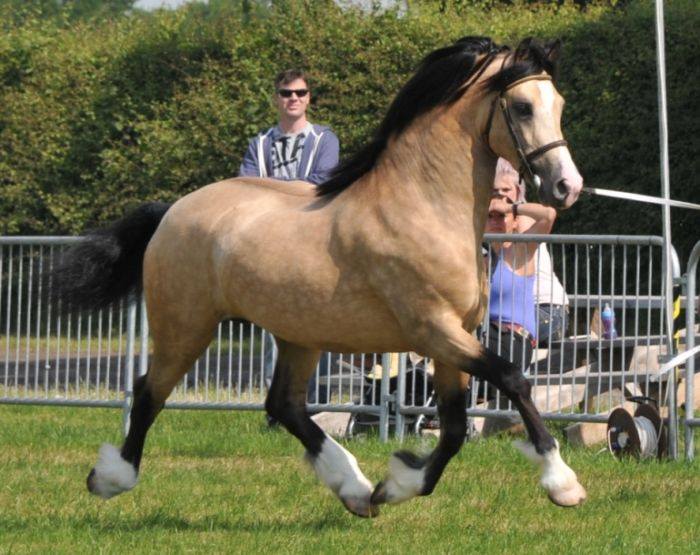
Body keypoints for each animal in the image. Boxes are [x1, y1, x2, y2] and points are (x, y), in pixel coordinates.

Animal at [57, 37, 588, 520]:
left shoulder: (454, 337)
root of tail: (173, 211)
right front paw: (563, 484)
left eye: (559, 105)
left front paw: (396, 485)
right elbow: (513, 379)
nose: (568, 186)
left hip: (298, 333)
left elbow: (456, 427)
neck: (423, 207)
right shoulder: (433, 329)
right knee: (150, 391)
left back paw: (355, 489)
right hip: (186, 325)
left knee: (285, 405)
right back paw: (110, 478)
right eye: (522, 107)